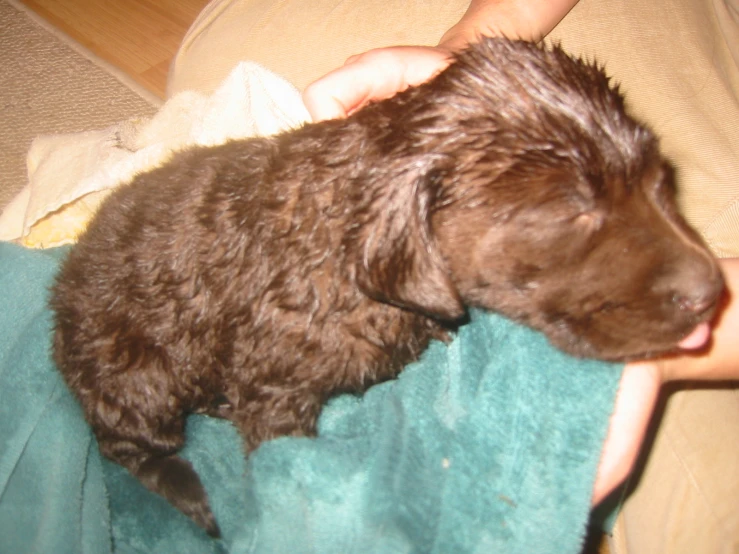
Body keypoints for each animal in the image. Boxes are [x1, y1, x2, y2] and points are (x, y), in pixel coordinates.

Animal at [49, 38, 724, 536]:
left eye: (660, 180)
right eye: (571, 211)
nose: (713, 292)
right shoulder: (273, 393)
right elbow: (284, 464)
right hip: (136, 376)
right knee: (126, 445)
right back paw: (195, 495)